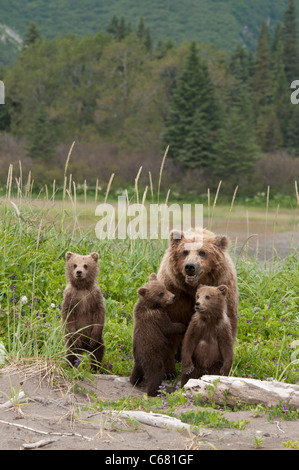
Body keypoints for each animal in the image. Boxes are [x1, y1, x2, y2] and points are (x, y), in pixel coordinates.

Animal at [157, 228, 239, 378]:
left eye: (202, 252)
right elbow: (168, 327)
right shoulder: (175, 292)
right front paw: (168, 371)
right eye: (185, 251)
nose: (190, 267)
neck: (192, 288)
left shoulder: (224, 288)